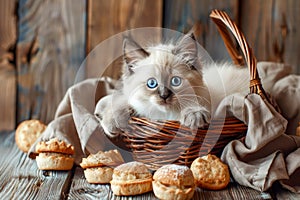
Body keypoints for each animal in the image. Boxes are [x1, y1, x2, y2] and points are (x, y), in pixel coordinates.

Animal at [95, 33, 251, 139]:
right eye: (152, 83)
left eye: (175, 81)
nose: (164, 96)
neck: (165, 115)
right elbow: (123, 101)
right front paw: (111, 121)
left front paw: (195, 115)